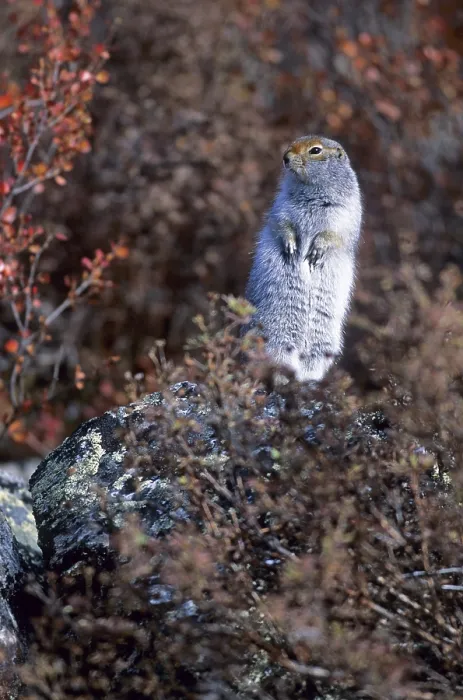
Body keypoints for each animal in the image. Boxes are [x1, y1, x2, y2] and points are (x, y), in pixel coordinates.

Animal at [245, 135, 362, 382]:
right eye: (291, 143)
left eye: (315, 150)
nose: (285, 158)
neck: (311, 189)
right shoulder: (282, 206)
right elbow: (283, 223)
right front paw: (291, 247)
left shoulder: (343, 212)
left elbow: (333, 233)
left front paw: (316, 251)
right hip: (277, 334)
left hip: (320, 345)